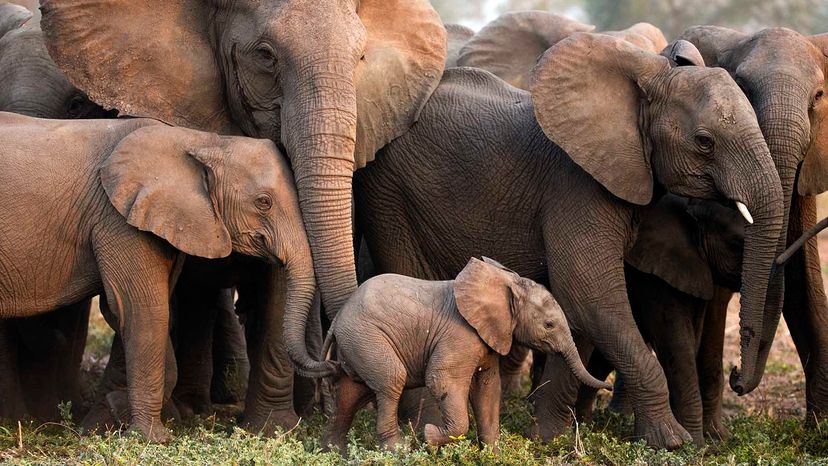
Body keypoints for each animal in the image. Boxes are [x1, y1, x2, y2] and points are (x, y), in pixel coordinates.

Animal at [0, 112, 316, 440]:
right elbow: (145, 310)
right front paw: (151, 438)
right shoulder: (119, 220)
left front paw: (116, 411)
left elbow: (146, 312)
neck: (203, 140)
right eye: (263, 202)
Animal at [38, 0, 450, 432]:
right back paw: (186, 411)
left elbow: (281, 278)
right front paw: (104, 423)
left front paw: (273, 428)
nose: (334, 375)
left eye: (360, 58)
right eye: (265, 56)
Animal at [300, 256, 612, 454]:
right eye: (549, 325)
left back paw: (332, 452)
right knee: (390, 380)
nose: (607, 387)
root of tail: (339, 319)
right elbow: (442, 379)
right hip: (367, 337)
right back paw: (397, 450)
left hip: (358, 343)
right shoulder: (460, 335)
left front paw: (492, 454)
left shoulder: (487, 338)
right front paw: (428, 435)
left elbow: (488, 388)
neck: (505, 282)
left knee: (352, 392)